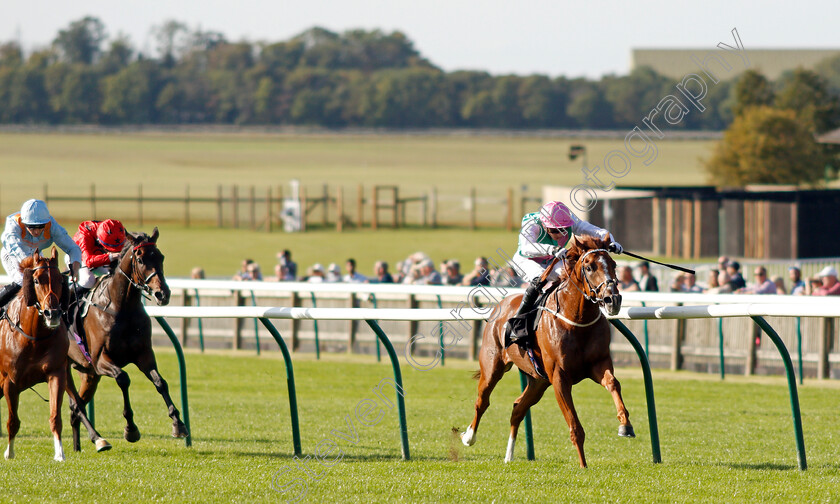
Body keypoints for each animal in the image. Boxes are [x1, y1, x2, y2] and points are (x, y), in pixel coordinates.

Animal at [0, 248, 110, 460]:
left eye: (60, 279)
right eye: (36, 280)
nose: (53, 313)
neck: (33, 337)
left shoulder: (56, 373)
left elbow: (55, 416)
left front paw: (60, 453)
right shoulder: (9, 381)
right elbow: (13, 421)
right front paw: (9, 453)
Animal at [66, 228, 187, 448]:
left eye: (160, 257)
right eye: (140, 259)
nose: (162, 294)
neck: (121, 307)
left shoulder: (143, 354)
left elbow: (160, 382)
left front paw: (178, 424)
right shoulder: (100, 360)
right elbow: (123, 378)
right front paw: (130, 428)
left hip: (88, 374)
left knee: (75, 407)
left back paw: (79, 446)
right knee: (76, 404)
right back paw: (98, 439)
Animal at [462, 234, 632, 466]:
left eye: (613, 264)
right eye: (589, 267)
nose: (612, 299)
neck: (577, 320)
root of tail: (500, 305)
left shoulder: (599, 364)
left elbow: (613, 383)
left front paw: (625, 425)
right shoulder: (559, 377)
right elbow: (575, 427)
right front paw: (583, 465)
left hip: (538, 381)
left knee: (518, 408)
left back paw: (509, 456)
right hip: (492, 367)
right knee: (482, 401)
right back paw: (469, 437)